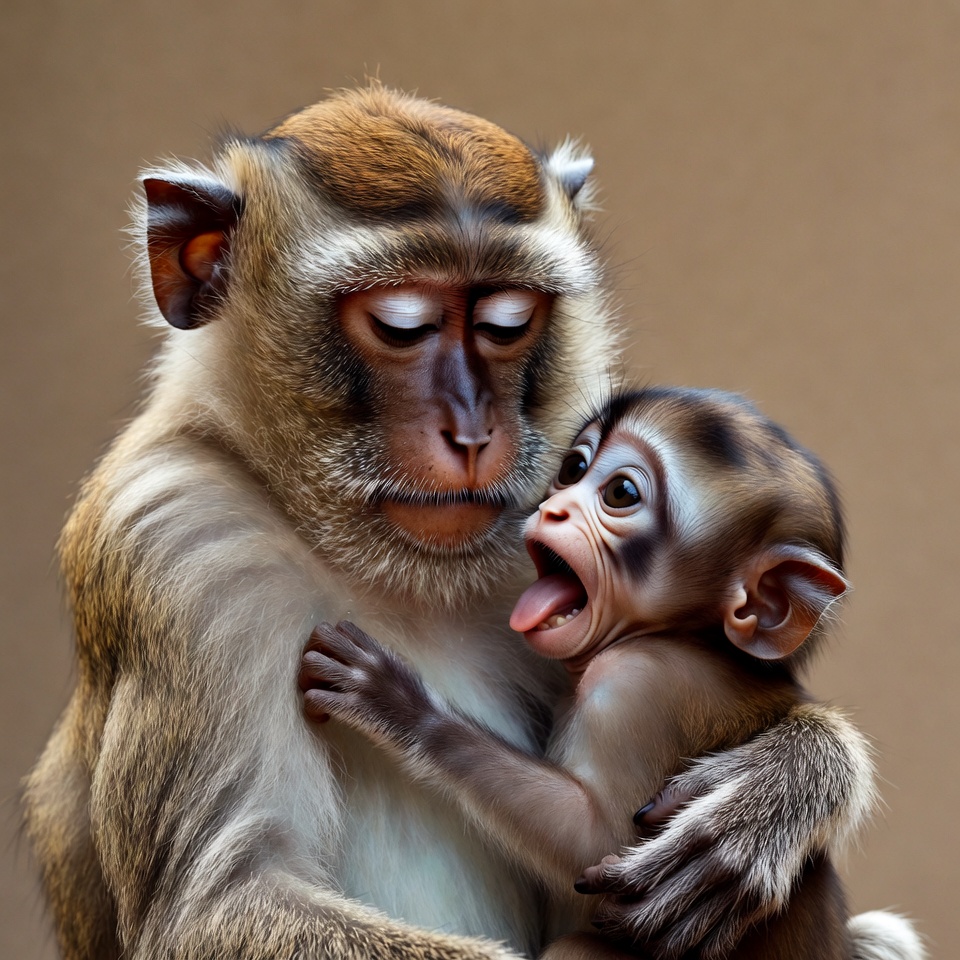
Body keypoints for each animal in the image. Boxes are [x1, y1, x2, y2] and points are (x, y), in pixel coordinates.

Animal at [299, 386, 925, 960]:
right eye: (573, 468)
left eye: (620, 493)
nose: (553, 508)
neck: (679, 636)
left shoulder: (635, 687)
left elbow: (595, 841)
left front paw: (397, 703)